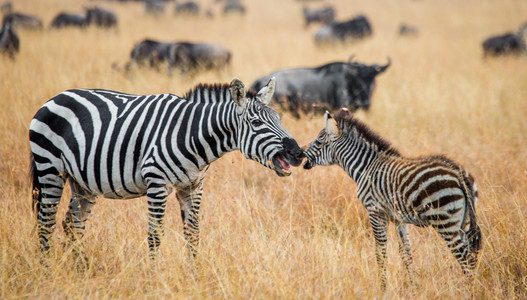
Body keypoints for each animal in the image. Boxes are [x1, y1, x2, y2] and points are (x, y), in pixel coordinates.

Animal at [28, 78, 306, 262]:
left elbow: (193, 234)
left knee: (73, 225)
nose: (298, 153)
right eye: (257, 123)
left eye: (279, 119)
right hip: (50, 168)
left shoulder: (193, 186)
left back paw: (81, 269)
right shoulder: (157, 183)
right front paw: (153, 279)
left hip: (82, 183)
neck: (192, 135)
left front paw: (195, 276)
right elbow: (155, 236)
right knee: (46, 223)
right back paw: (47, 270)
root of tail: (57, 96)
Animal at [302, 108, 482, 288]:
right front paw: (412, 286)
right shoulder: (398, 219)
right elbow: (405, 253)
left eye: (318, 142)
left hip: (446, 222)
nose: (301, 156)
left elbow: (380, 252)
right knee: (471, 257)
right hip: (464, 221)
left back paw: (469, 289)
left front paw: (383, 287)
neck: (366, 168)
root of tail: (458, 174)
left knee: (465, 259)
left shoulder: (375, 212)